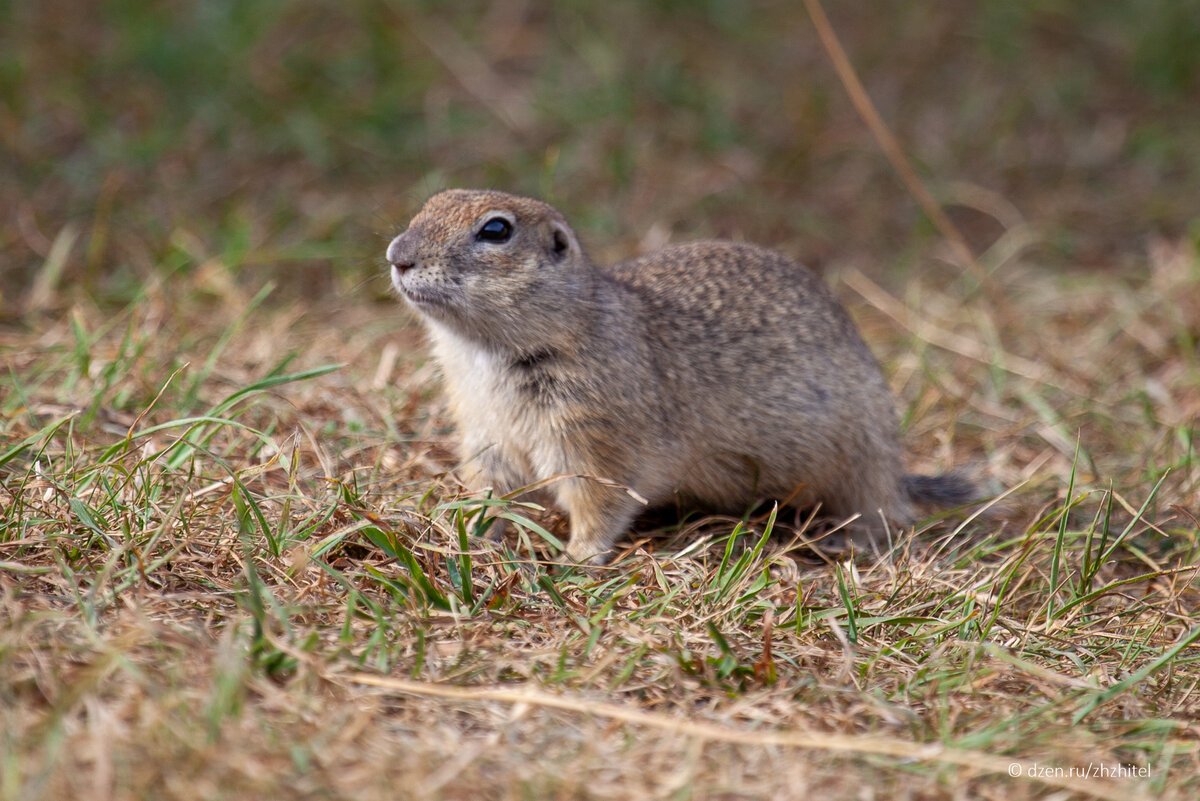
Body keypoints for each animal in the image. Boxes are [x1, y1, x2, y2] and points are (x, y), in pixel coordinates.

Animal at [384, 188, 974, 563]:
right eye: (427, 205)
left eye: (496, 230)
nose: (396, 255)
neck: (486, 355)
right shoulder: (485, 433)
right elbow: (490, 489)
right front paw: (469, 532)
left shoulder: (597, 436)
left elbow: (599, 502)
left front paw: (576, 559)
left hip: (863, 456)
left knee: (882, 509)